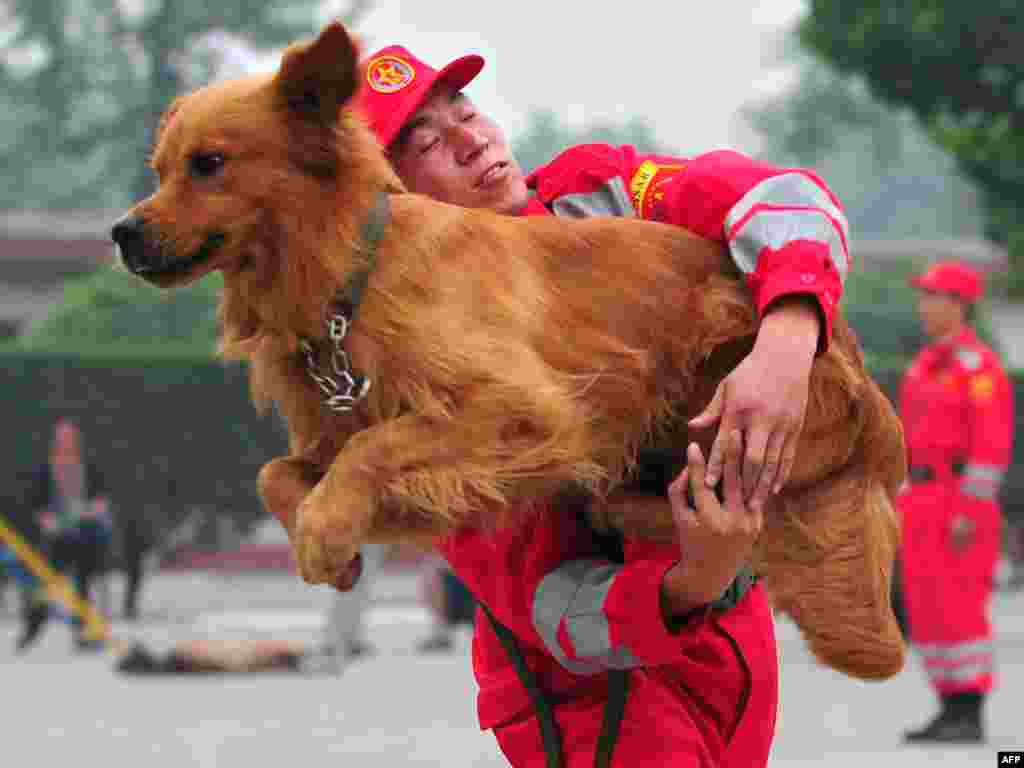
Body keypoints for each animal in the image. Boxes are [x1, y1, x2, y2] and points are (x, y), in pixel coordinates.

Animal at [116, 19, 909, 679]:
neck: (352, 276)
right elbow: (277, 472)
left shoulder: (526, 410)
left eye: (209, 163)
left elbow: (373, 447)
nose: (122, 233)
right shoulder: (404, 466)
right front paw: (327, 539)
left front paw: (321, 530)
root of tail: (874, 417)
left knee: (745, 523)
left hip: (714, 372)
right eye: (159, 169)